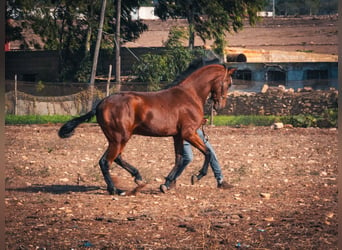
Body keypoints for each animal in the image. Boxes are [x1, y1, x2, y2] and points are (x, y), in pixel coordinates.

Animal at [58, 61, 235, 194]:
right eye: (228, 83)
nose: (220, 106)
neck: (190, 95)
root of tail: (100, 104)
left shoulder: (178, 135)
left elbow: (180, 159)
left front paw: (166, 184)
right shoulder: (189, 133)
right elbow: (207, 153)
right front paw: (197, 177)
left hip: (117, 139)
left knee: (116, 158)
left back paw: (138, 178)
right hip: (120, 138)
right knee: (105, 161)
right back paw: (116, 190)